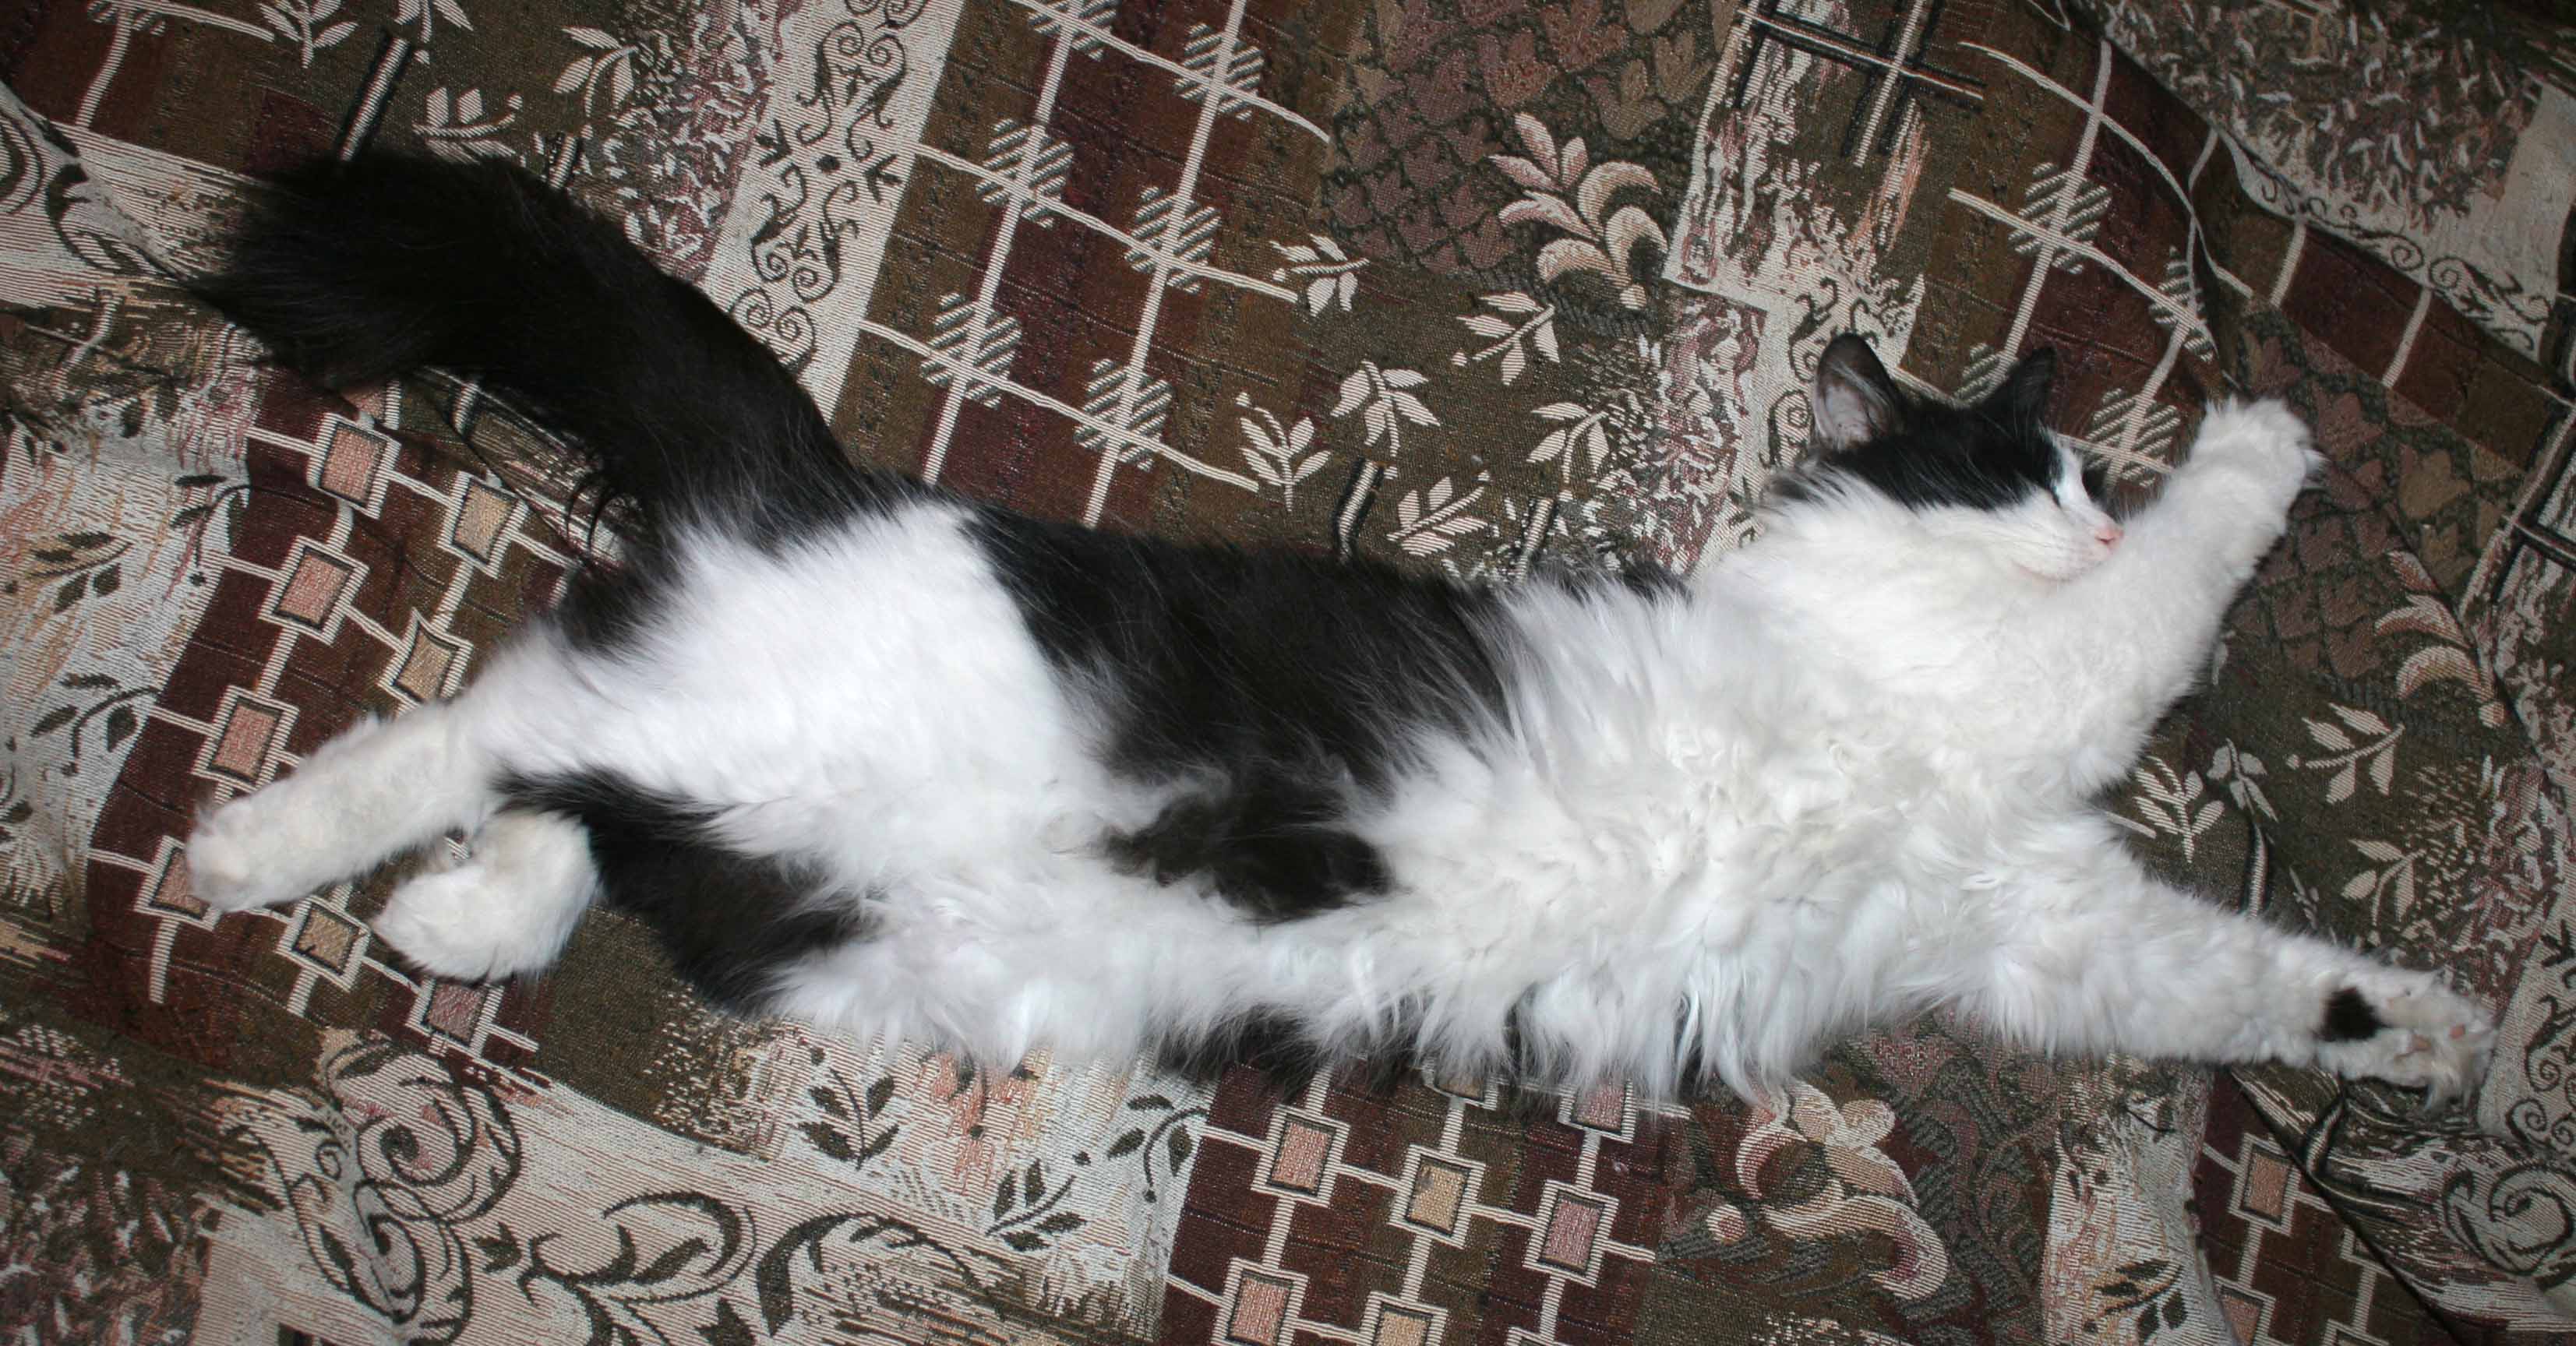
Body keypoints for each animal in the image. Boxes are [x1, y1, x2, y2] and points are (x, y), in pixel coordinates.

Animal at [186, 154, 2492, 1105]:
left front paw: (2458, 1040)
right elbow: (2186, 586)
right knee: (490, 707)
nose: (2086, 511)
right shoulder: (2015, 700)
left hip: (785, 886)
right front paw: (2263, 433)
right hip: (736, 715)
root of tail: (825, 487)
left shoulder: (2031, 917)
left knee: (567, 804)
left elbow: (2259, 987)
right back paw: (247, 850)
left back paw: (458, 914)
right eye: (2031, 477)